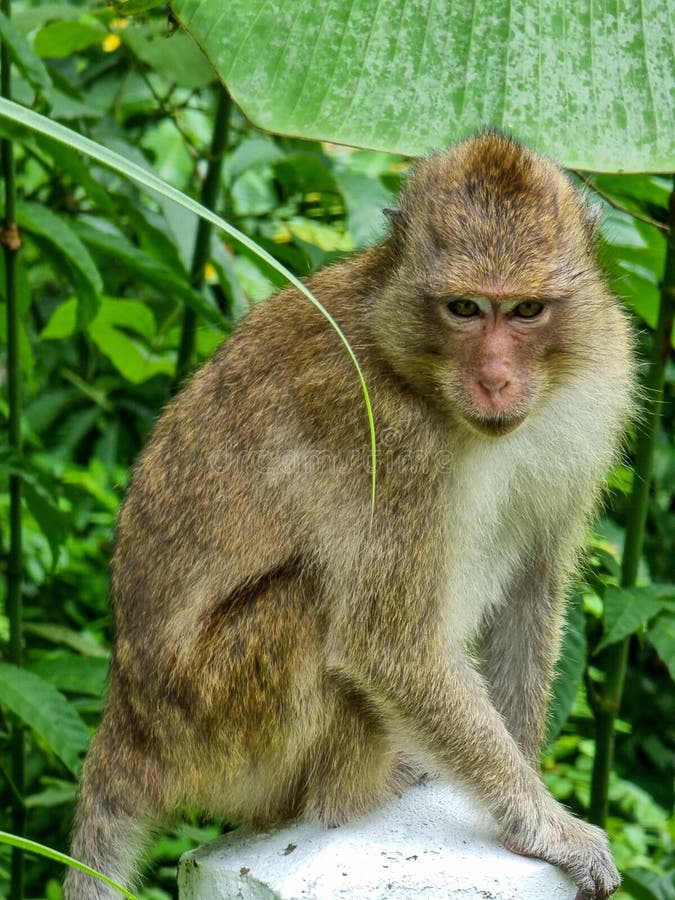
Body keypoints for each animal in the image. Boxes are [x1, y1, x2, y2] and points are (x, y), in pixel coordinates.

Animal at [65, 132, 634, 900]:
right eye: (463, 308)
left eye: (524, 311)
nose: (494, 379)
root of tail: (127, 721)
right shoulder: (388, 442)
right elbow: (388, 646)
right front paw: (545, 825)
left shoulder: (593, 394)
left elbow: (532, 585)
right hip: (217, 727)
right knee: (313, 602)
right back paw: (355, 792)